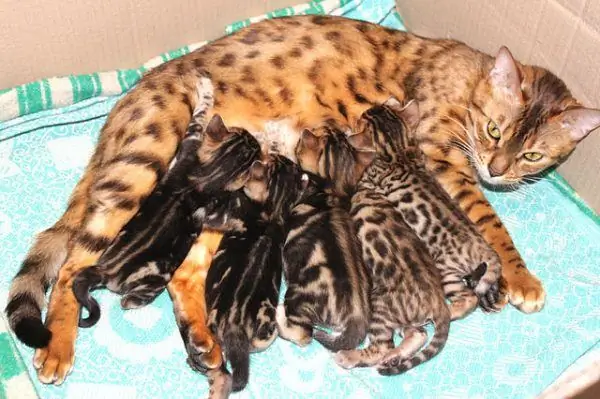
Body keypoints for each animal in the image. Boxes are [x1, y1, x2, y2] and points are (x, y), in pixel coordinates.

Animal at [71, 110, 258, 328]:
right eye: (254, 146)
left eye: (243, 132)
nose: (256, 138)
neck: (207, 174)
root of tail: (106, 270)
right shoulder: (212, 211)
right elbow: (226, 219)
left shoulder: (187, 153)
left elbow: (194, 126)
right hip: (158, 278)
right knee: (132, 299)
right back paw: (131, 301)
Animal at [274, 130, 372, 352]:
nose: (306, 131)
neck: (331, 192)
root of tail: (357, 316)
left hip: (297, 297)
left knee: (303, 335)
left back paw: (279, 314)